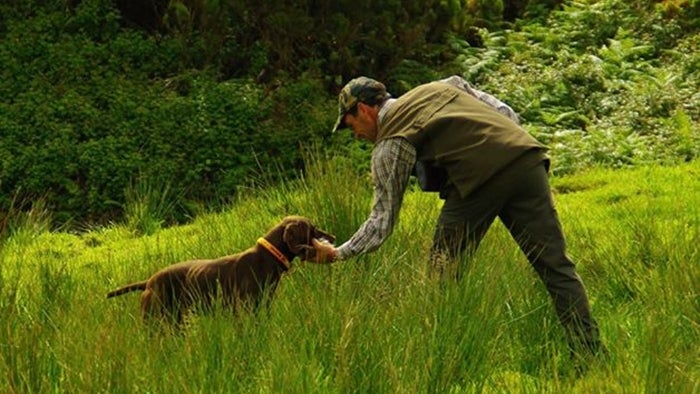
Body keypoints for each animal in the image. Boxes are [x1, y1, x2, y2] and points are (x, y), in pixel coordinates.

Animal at [105, 215, 334, 324]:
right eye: (312, 229)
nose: (332, 238)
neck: (267, 257)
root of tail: (149, 282)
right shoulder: (245, 308)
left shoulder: (263, 306)